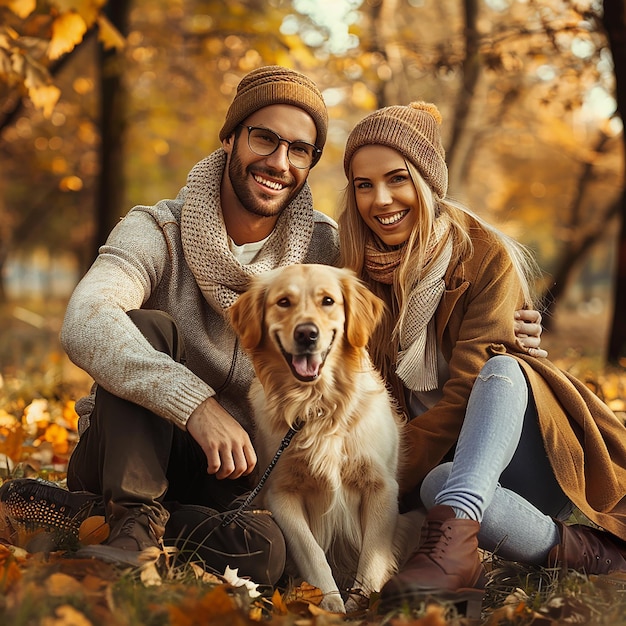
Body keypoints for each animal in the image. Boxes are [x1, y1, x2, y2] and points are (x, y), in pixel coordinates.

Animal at [229, 262, 404, 608]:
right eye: (284, 302)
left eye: (328, 301)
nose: (307, 334)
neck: (317, 408)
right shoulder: (280, 492)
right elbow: (312, 554)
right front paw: (331, 606)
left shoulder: (381, 488)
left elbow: (371, 558)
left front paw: (361, 605)